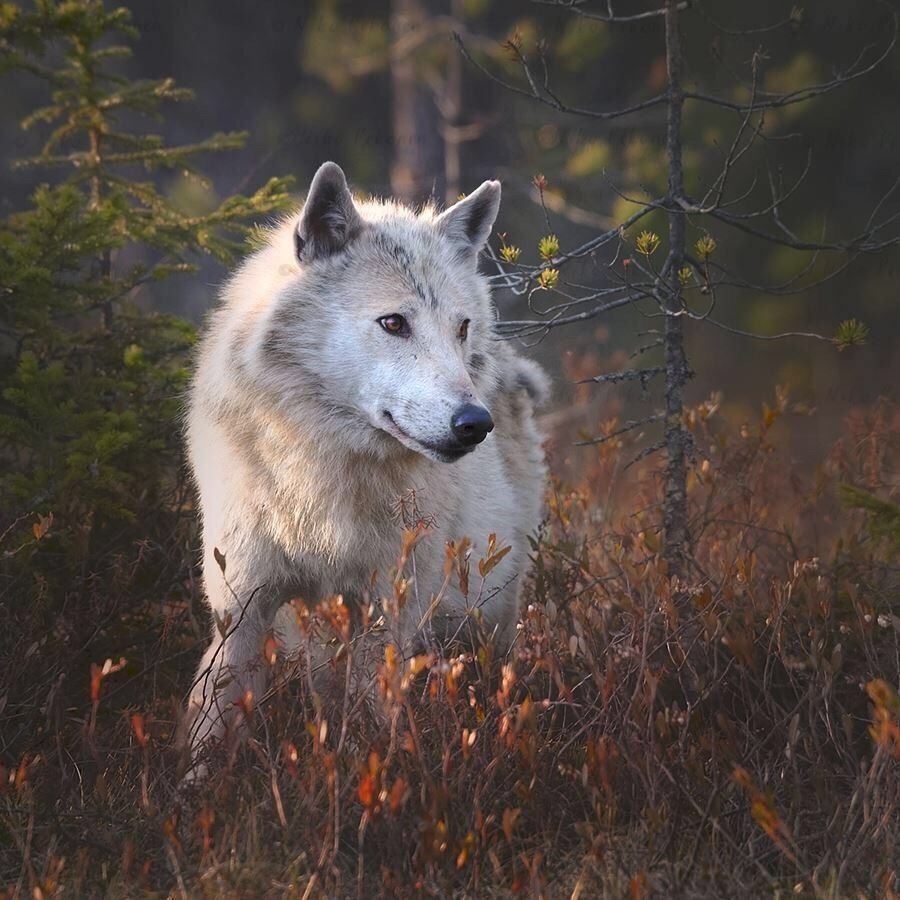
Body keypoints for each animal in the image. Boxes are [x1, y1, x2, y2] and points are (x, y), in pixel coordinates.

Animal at [183, 162, 548, 764]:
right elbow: (212, 721)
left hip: (488, 612)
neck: (321, 472)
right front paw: (196, 785)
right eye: (394, 323)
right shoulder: (241, 608)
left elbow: (373, 725)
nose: (475, 422)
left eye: (460, 327)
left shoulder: (387, 612)